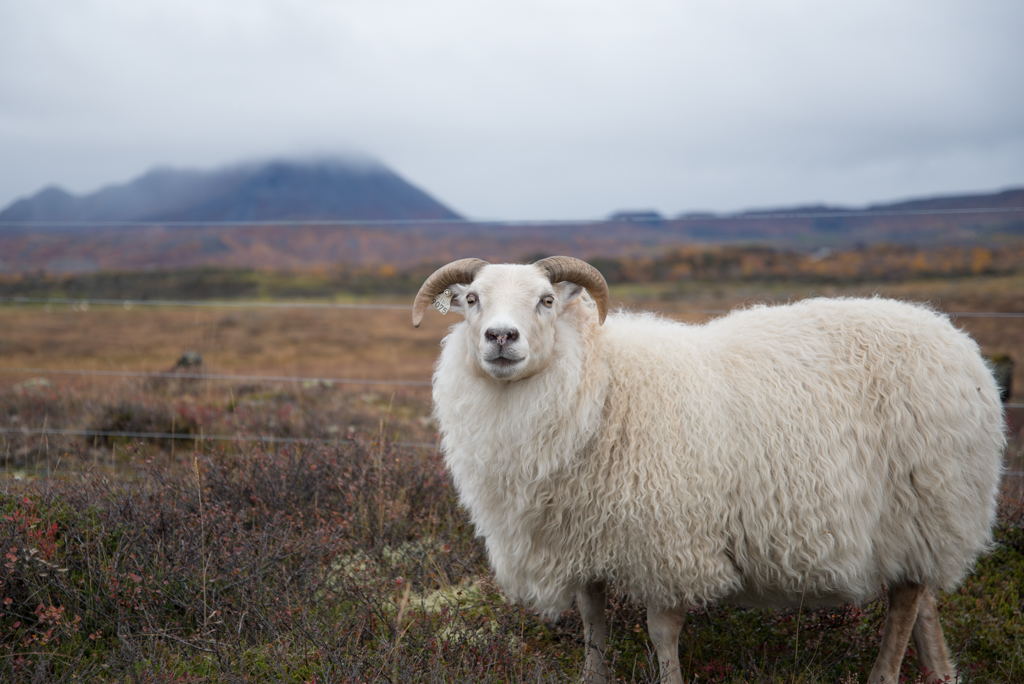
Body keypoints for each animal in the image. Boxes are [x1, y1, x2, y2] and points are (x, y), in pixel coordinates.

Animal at [411, 255, 1003, 684]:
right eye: (471, 299)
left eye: (547, 300)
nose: (501, 337)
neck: (600, 384)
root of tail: (957, 340)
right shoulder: (583, 536)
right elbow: (593, 620)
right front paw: (592, 678)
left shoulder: (669, 540)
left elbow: (661, 631)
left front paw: (668, 680)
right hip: (921, 520)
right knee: (923, 597)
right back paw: (941, 673)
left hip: (924, 502)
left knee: (905, 602)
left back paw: (884, 675)